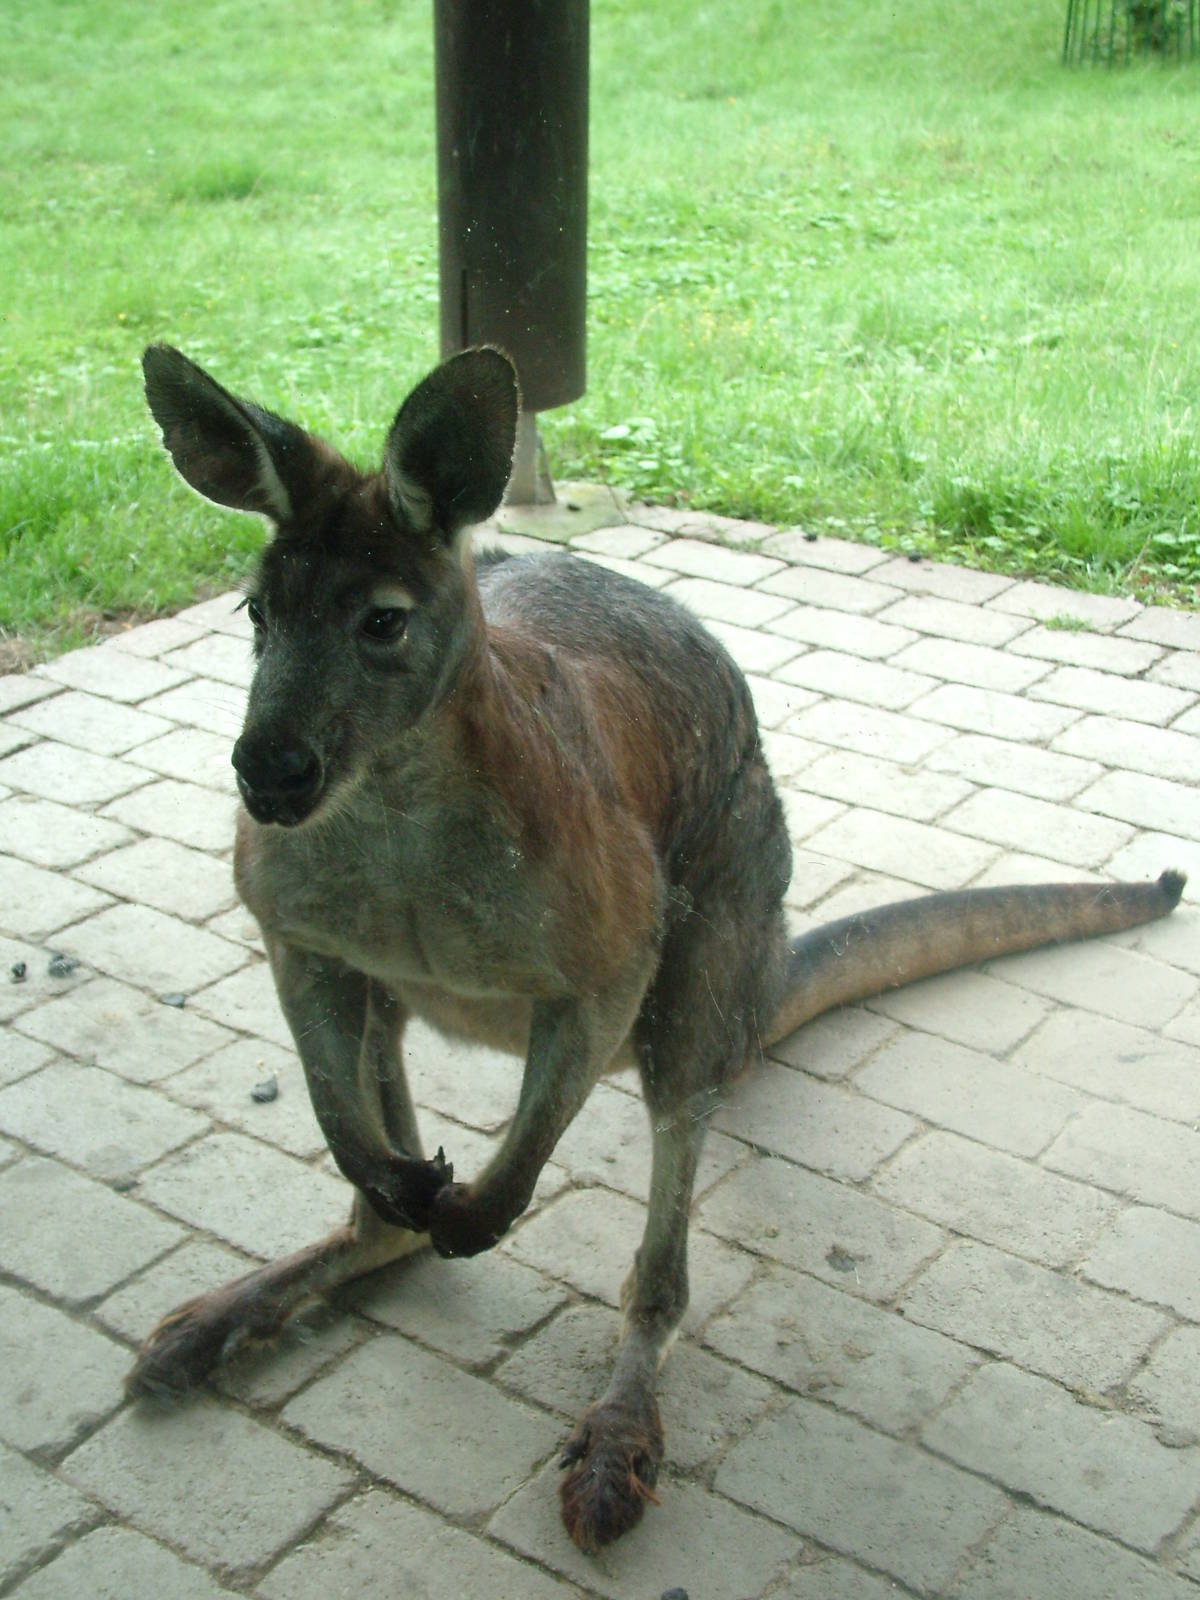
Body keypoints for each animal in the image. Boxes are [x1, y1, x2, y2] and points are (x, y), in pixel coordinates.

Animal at [131, 342, 1185, 1553]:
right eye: (255, 611)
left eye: (382, 624)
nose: (267, 775)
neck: (391, 808)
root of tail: (761, 976)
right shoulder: (296, 930)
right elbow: (327, 1089)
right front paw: (407, 1182)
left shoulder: (610, 956)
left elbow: (546, 1114)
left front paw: (478, 1211)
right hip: (400, 992)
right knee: (379, 1191)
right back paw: (242, 1304)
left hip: (710, 941)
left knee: (667, 1223)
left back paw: (610, 1441)